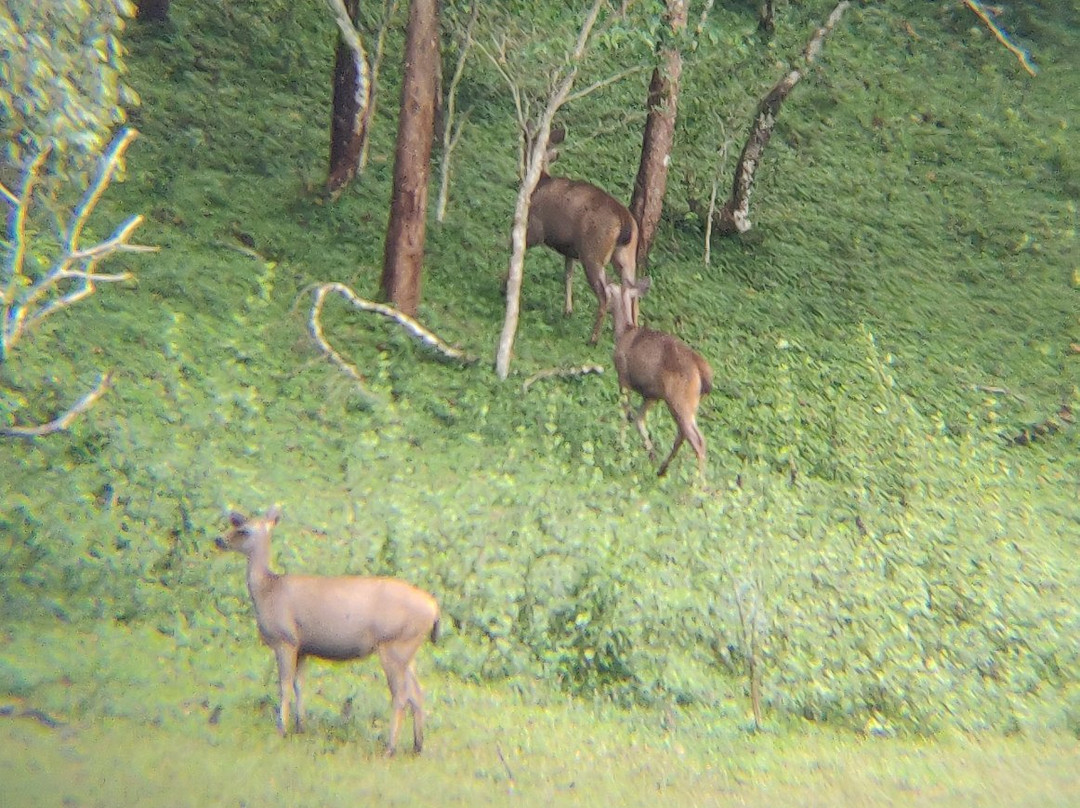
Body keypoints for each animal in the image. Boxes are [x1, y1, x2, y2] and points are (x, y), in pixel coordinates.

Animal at [214, 507, 438, 756]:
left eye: (243, 530)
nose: (219, 540)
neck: (268, 591)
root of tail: (434, 609)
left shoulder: (285, 639)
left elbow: (284, 685)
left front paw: (281, 729)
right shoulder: (303, 647)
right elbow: (299, 685)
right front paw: (300, 726)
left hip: (394, 646)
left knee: (401, 695)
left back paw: (390, 748)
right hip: (408, 650)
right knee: (418, 692)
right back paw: (417, 746)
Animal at [524, 126, 635, 343]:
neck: (539, 182)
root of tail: (624, 219)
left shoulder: (535, 227)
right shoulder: (570, 249)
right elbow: (568, 275)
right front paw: (568, 310)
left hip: (594, 251)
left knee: (605, 294)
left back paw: (593, 338)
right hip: (626, 255)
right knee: (632, 292)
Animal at [604, 280, 712, 477]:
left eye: (610, 291)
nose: (604, 304)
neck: (624, 332)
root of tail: (703, 371)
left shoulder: (623, 375)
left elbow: (624, 412)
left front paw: (619, 446)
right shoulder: (651, 394)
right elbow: (639, 420)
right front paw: (651, 453)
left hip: (680, 399)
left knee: (698, 440)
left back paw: (697, 482)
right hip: (687, 402)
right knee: (682, 434)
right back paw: (662, 469)